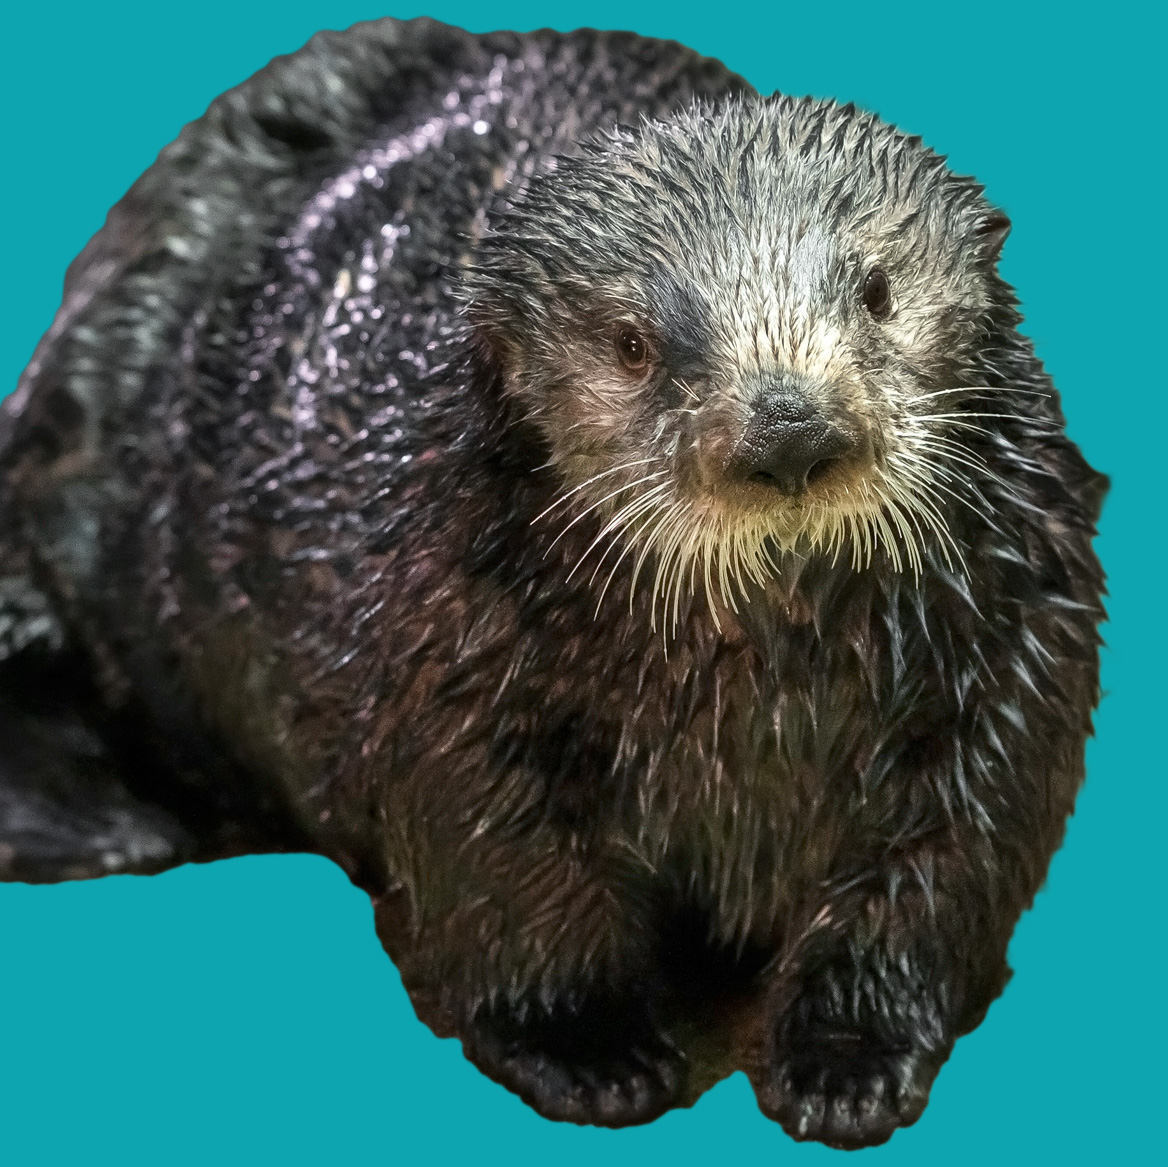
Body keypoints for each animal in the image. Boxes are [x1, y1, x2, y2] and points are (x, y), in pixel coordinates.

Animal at [0, 15, 1106, 1149]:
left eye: (878, 292)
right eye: (632, 344)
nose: (790, 429)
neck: (764, 675)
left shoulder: (1007, 655)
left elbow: (942, 862)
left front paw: (851, 1063)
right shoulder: (444, 654)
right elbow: (503, 867)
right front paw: (590, 1052)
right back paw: (111, 823)